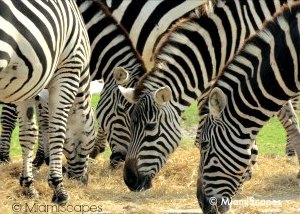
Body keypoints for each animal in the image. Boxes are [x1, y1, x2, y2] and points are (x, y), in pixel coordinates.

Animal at [0, 0, 95, 204]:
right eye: (90, 142)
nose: (83, 181)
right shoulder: (68, 71)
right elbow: (57, 130)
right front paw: (59, 189)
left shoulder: (27, 82)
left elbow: (28, 134)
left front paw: (28, 186)